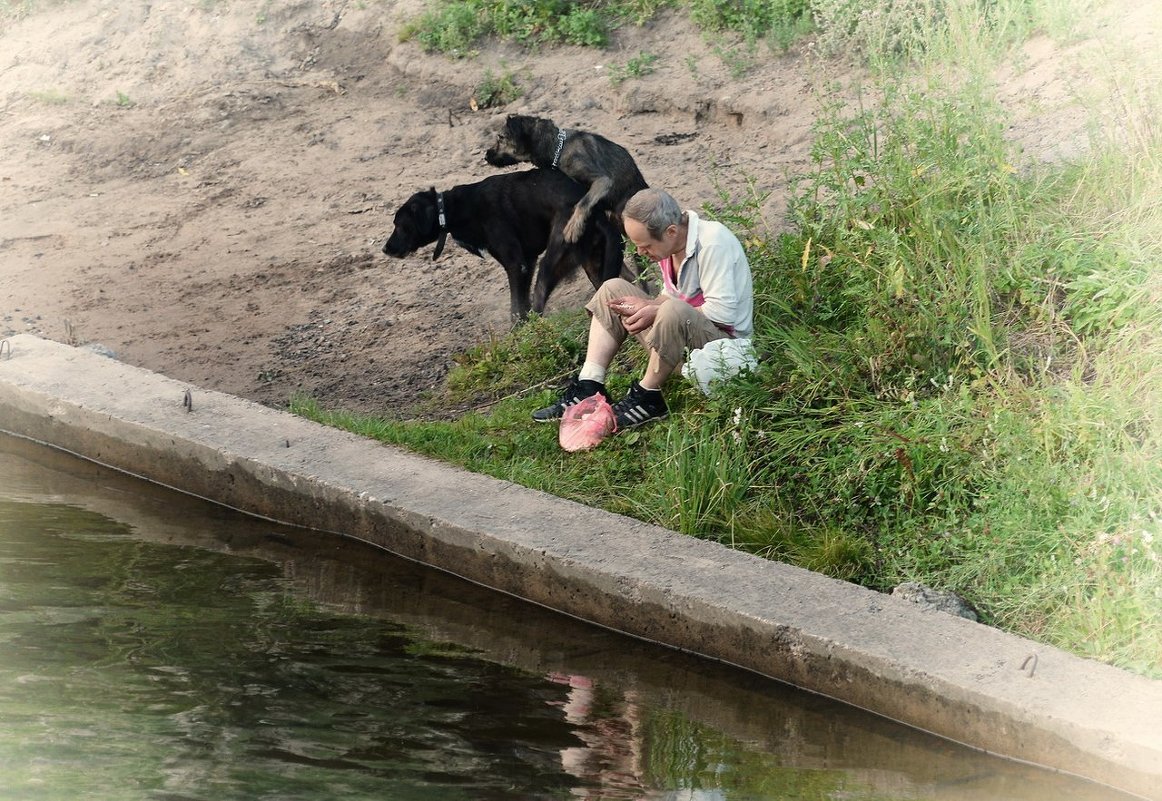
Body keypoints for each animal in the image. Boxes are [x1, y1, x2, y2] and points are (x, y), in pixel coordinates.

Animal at [383, 169, 627, 320]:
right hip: (594, 264)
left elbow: (516, 308)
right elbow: (521, 305)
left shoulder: (516, 265)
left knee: (540, 297)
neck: (454, 208)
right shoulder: (527, 263)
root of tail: (596, 215)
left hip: (552, 263)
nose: (385, 249)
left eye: (400, 225)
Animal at [481, 113, 646, 241]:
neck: (558, 148)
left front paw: (573, 227)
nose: (486, 156)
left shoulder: (603, 181)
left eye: (501, 137)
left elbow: (583, 202)